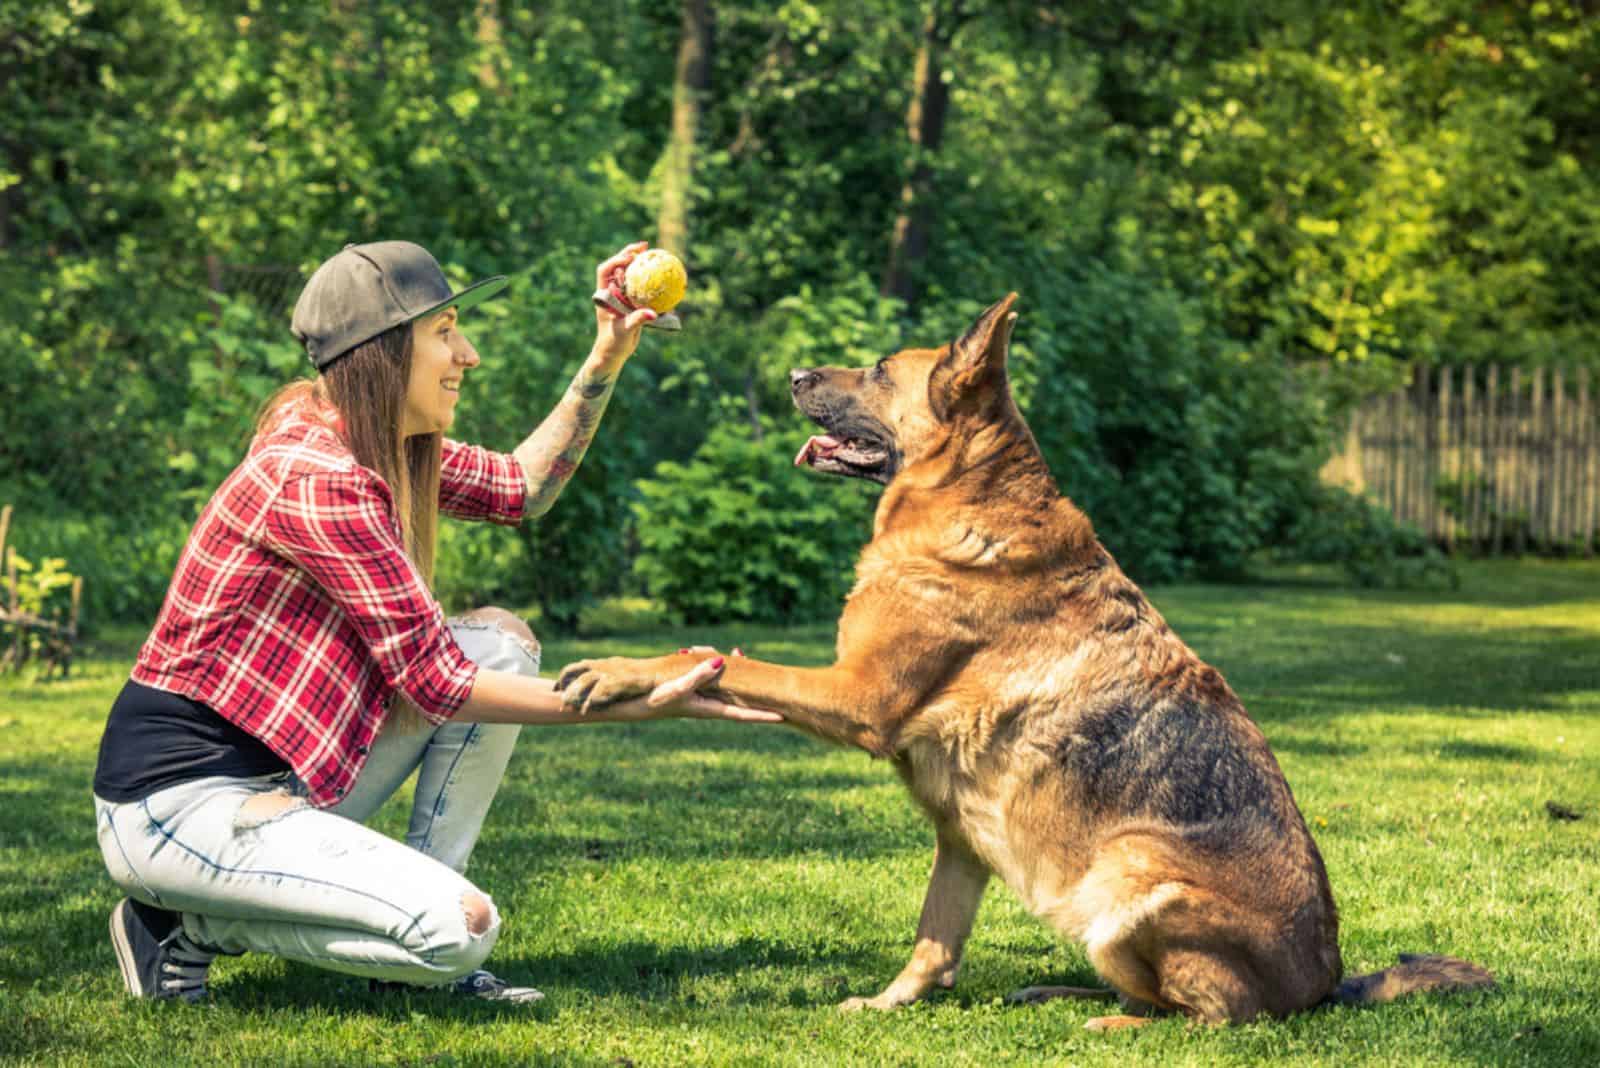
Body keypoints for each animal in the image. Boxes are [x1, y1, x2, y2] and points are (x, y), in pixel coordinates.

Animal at [556, 295, 1491, 1029]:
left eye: (879, 369)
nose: (790, 373)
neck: (967, 498)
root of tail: (1327, 984)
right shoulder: (960, 833)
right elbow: (934, 943)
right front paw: (890, 1004)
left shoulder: (857, 698)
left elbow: (714, 655)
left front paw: (620, 667)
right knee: (1156, 997)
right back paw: (1063, 994)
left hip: (1124, 883)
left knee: (1213, 1017)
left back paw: (1114, 1025)